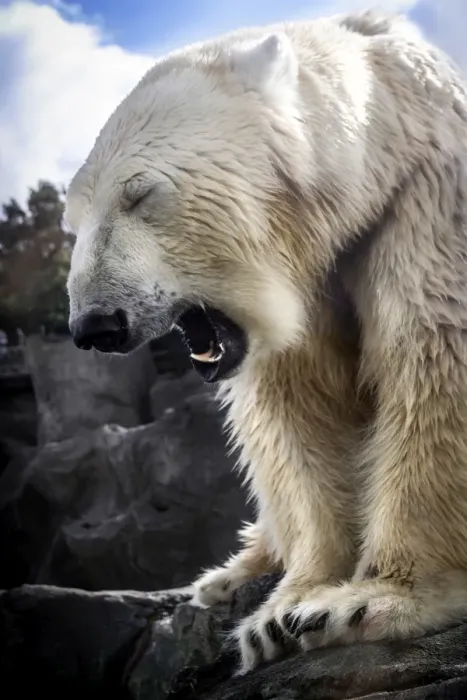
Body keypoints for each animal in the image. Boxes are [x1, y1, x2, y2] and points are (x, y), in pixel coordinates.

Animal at [64, 8, 467, 675]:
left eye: (139, 193)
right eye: (73, 220)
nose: (96, 325)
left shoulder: (426, 201)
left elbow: (433, 356)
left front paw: (364, 603)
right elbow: (295, 411)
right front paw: (283, 614)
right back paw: (225, 575)